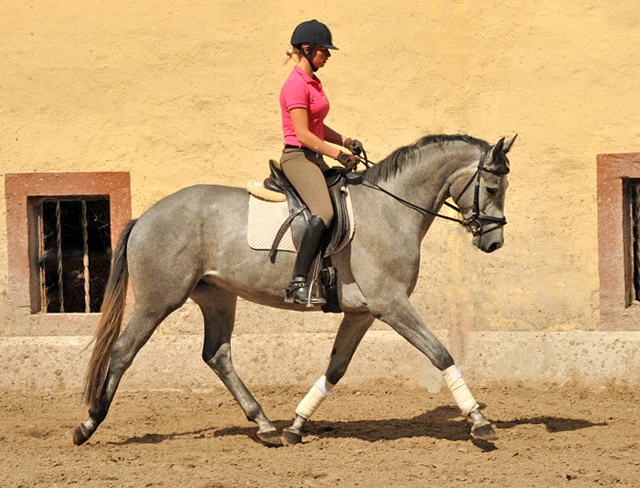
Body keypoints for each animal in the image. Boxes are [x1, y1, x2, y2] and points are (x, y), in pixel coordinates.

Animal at [74, 132, 516, 446]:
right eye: (494, 189)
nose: (494, 242)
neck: (390, 208)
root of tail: (145, 217)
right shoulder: (391, 304)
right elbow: (440, 354)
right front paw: (479, 422)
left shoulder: (361, 312)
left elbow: (335, 369)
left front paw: (298, 425)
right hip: (158, 300)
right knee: (124, 350)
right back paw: (88, 423)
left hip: (217, 296)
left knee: (217, 354)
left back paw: (266, 425)